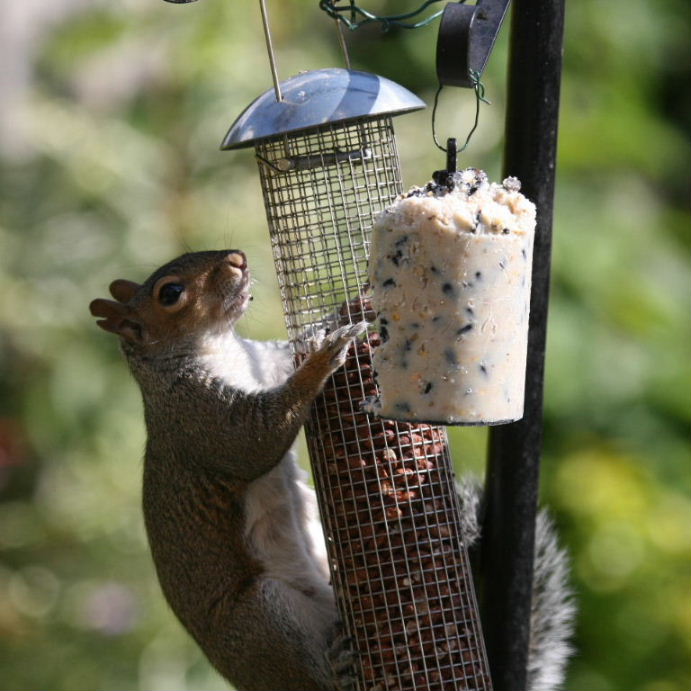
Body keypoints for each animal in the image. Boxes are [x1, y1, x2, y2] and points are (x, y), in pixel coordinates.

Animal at [90, 250, 574, 691]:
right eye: (170, 293)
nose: (238, 258)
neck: (222, 346)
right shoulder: (197, 418)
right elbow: (253, 442)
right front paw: (325, 357)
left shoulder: (266, 363)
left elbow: (288, 362)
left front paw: (353, 307)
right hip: (260, 622)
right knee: (306, 671)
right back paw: (338, 669)